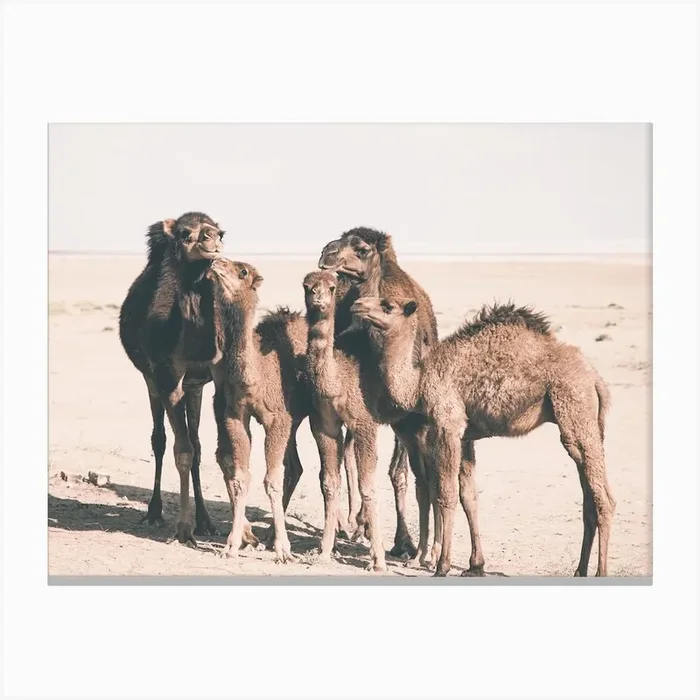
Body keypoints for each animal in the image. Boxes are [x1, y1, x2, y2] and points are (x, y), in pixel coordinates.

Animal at [302, 270, 387, 571]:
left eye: (332, 286)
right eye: (307, 286)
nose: (318, 298)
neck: (336, 381)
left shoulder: (365, 422)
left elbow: (369, 485)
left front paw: (379, 559)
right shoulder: (322, 423)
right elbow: (330, 481)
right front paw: (325, 550)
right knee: (349, 458)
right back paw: (355, 523)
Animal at [318, 226, 447, 559]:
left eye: (362, 248)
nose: (327, 253)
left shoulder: (404, 415)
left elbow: (399, 474)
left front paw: (404, 543)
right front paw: (359, 524)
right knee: (347, 457)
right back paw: (348, 522)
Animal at [351, 297, 615, 577]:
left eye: (387, 306)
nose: (357, 304)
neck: (420, 381)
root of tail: (595, 378)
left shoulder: (448, 424)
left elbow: (446, 494)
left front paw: (442, 567)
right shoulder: (465, 436)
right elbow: (468, 495)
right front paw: (474, 565)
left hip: (575, 407)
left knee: (603, 499)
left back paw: (600, 572)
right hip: (587, 423)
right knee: (588, 498)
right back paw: (580, 570)